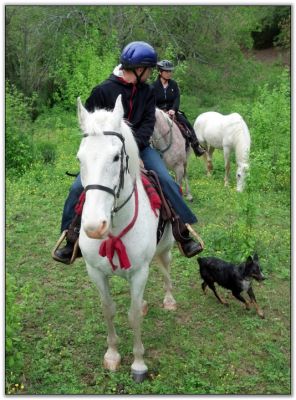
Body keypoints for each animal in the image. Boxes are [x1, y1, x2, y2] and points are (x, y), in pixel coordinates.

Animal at [77, 95, 177, 382]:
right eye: (80, 159)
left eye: (115, 157)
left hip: (166, 247)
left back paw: (169, 299)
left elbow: (133, 317)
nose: (93, 226)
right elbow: (108, 309)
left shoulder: (140, 272)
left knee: (165, 268)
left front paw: (139, 364)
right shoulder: (95, 272)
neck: (114, 229)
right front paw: (112, 355)